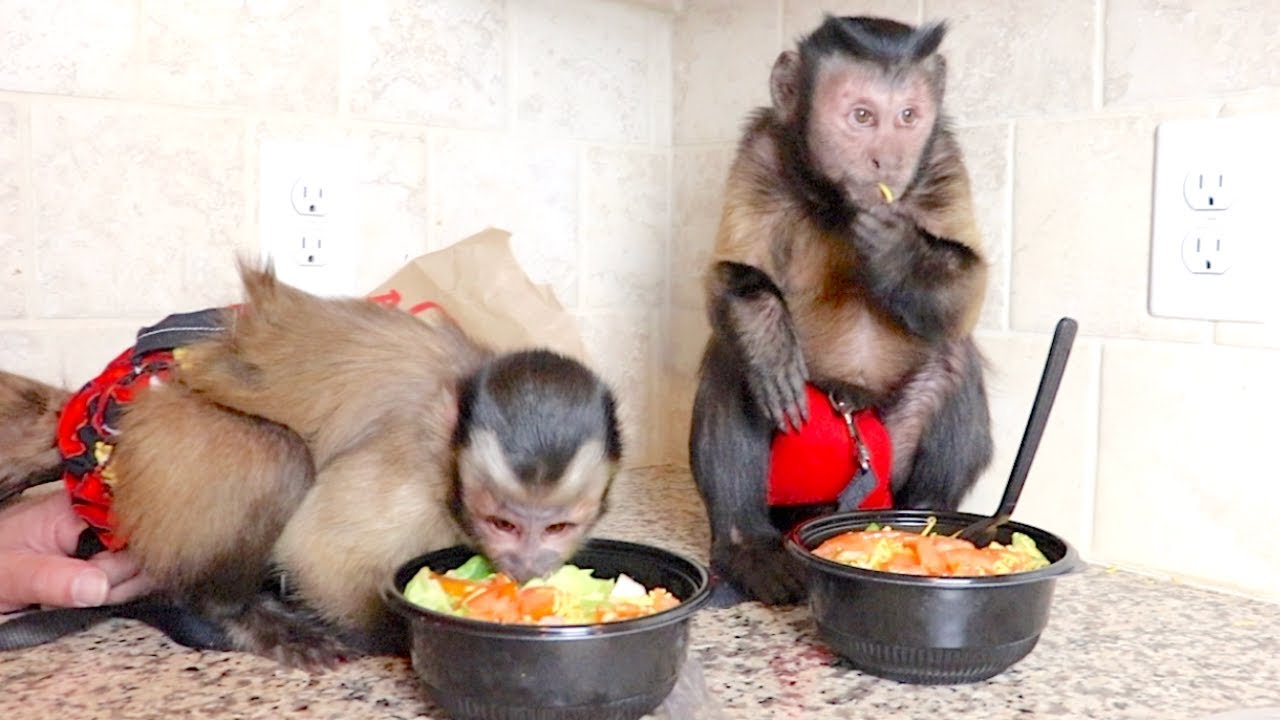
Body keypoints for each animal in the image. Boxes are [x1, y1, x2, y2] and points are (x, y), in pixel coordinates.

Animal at [0, 263, 622, 666]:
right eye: (503, 524)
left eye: (558, 527)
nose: (529, 563)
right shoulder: (411, 462)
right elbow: (320, 552)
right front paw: (399, 634)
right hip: (134, 442)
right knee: (275, 457)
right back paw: (232, 613)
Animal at [689, 15, 993, 605]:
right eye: (861, 116)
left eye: (907, 117)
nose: (886, 160)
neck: (834, 201)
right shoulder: (761, 149)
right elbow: (730, 277)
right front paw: (767, 340)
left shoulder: (942, 158)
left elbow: (966, 291)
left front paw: (896, 249)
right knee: (731, 363)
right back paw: (747, 546)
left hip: (887, 469)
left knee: (952, 357)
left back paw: (928, 517)